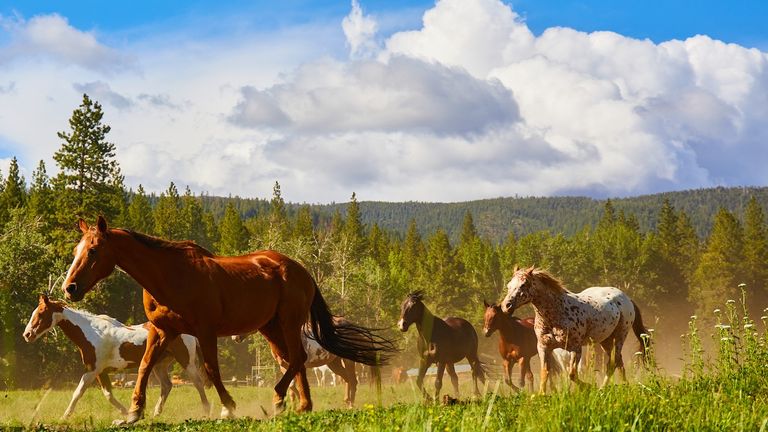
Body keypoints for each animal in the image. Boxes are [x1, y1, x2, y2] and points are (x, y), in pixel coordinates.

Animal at [24, 296, 210, 416]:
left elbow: (78, 392)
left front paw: (65, 417)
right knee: (167, 386)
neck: (92, 333)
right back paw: (156, 414)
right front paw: (128, 413)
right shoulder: (101, 372)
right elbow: (108, 395)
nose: (27, 334)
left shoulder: (92, 370)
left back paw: (207, 411)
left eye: (41, 312)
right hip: (159, 365)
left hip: (186, 361)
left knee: (198, 383)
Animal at [498, 264, 648, 394]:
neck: (556, 313)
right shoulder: (543, 348)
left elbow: (572, 374)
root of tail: (626, 298)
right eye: (509, 285)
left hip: (620, 336)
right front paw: (540, 395)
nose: (506, 306)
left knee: (613, 363)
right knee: (618, 363)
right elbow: (545, 372)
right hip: (605, 340)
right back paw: (624, 385)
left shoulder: (575, 348)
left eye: (524, 284)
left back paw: (601, 389)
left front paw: (588, 387)